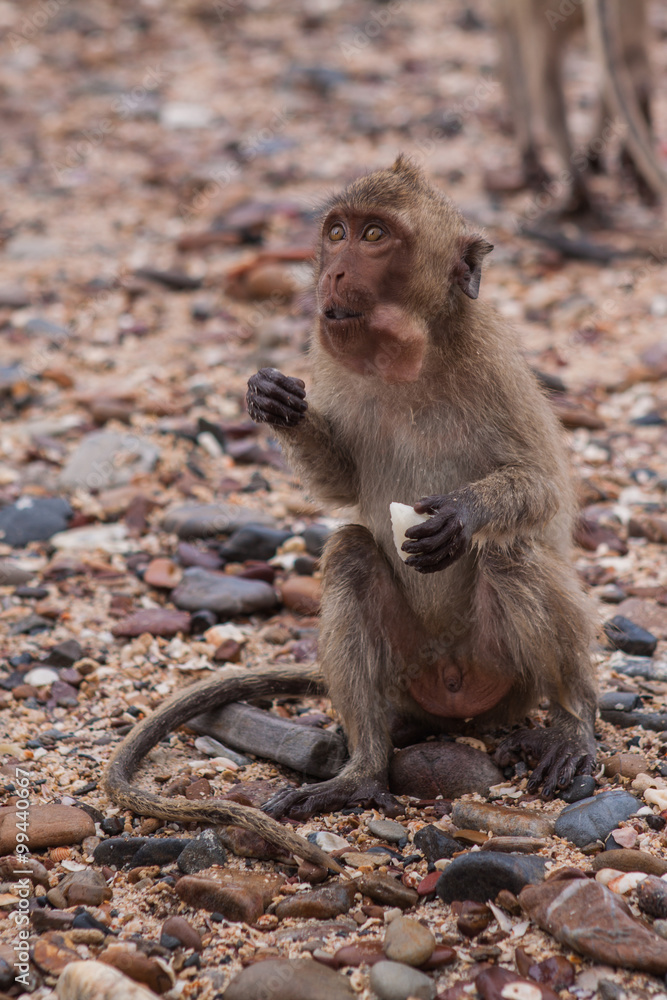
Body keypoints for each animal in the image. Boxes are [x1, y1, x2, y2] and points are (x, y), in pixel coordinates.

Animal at [105, 157, 597, 837]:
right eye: (337, 232)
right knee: (352, 555)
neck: (406, 360)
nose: (334, 272)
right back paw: (364, 769)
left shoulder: (494, 364)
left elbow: (545, 485)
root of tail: (452, 687)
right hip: (407, 674)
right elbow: (340, 487)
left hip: (505, 674)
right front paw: (274, 403)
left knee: (510, 551)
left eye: (374, 236)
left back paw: (573, 720)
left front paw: (459, 516)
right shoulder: (327, 357)